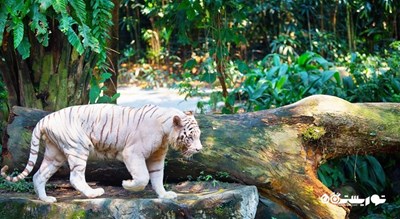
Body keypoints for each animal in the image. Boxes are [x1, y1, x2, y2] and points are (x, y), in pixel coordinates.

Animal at [0, 103, 200, 203]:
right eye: (190, 137)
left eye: (198, 135)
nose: (199, 149)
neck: (166, 130)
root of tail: (46, 118)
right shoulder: (132, 153)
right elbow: (143, 177)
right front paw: (127, 184)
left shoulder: (157, 157)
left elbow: (157, 177)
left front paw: (165, 195)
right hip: (78, 147)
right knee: (75, 177)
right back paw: (93, 193)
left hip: (54, 154)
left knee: (39, 176)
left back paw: (46, 199)